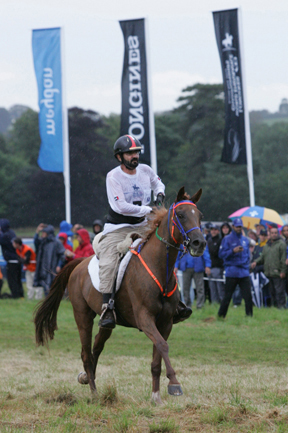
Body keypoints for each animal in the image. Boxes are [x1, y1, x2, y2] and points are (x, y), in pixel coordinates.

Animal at [35, 186, 206, 404]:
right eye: (181, 215)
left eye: (200, 216)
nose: (199, 243)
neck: (159, 267)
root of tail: (80, 263)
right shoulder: (144, 318)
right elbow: (162, 345)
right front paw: (174, 383)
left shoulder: (165, 322)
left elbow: (157, 356)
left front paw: (156, 396)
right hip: (82, 316)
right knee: (86, 353)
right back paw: (94, 392)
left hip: (107, 321)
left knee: (97, 346)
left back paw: (86, 377)